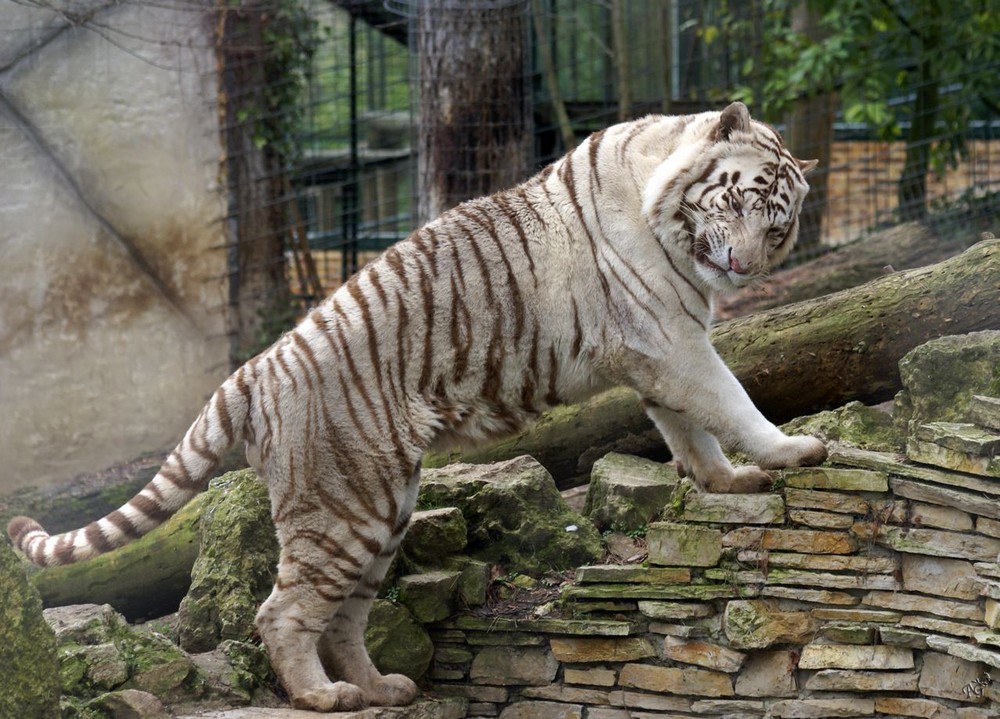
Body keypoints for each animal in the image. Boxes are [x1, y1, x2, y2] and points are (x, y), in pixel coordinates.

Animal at [7, 102, 824, 716]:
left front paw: (727, 482)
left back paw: (380, 687)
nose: (743, 266)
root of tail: (254, 368)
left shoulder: (659, 357)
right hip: (344, 507)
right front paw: (790, 452)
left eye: (778, 226)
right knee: (283, 612)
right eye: (740, 200)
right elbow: (729, 399)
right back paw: (323, 698)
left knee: (343, 618)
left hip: (380, 506)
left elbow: (691, 432)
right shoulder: (668, 342)